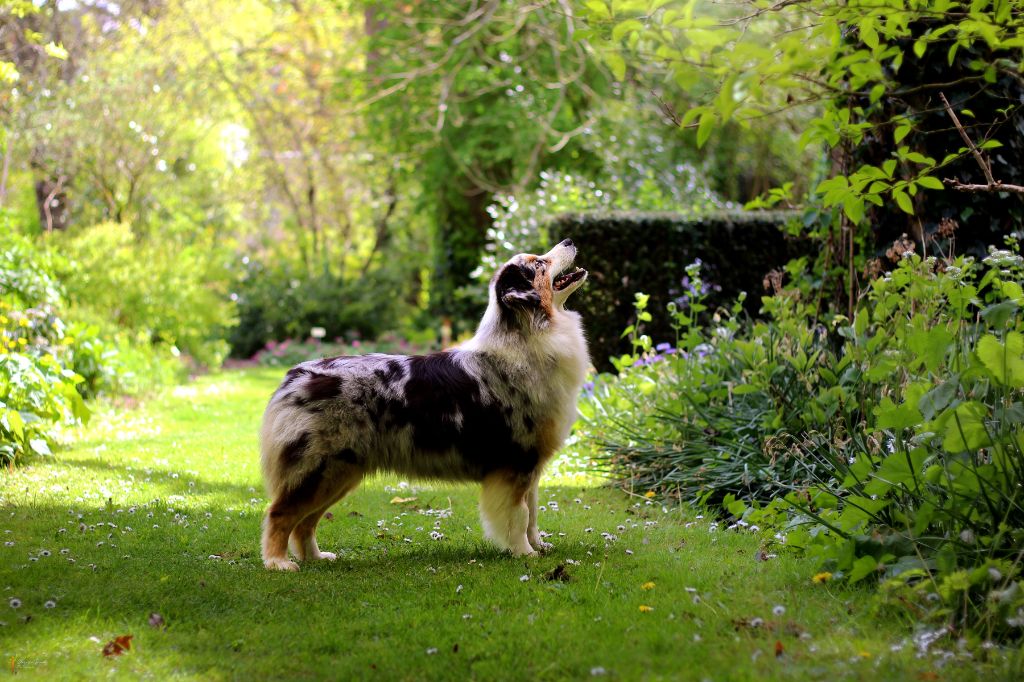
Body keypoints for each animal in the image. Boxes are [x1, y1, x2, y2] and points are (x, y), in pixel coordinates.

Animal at [260, 238, 589, 569]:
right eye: (538, 264)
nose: (569, 240)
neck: (528, 338)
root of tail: (293, 376)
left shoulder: (531, 465)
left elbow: (533, 514)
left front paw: (539, 547)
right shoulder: (516, 461)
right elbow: (519, 515)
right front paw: (524, 553)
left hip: (340, 472)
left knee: (305, 521)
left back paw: (316, 557)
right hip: (318, 468)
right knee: (280, 513)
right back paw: (278, 563)